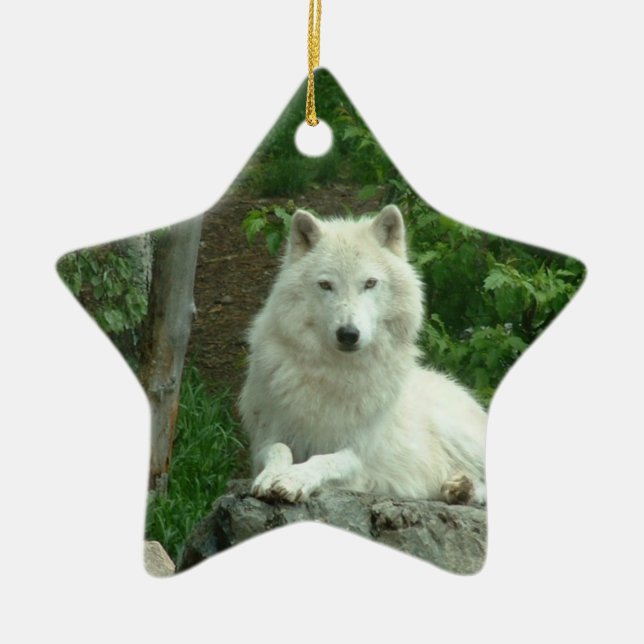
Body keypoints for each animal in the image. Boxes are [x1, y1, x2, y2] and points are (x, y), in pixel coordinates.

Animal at [239, 205, 487, 505]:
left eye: (370, 283)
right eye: (325, 285)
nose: (348, 334)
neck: (337, 374)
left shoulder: (359, 455)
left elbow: (324, 459)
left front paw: (292, 479)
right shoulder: (264, 439)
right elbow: (278, 449)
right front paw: (271, 477)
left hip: (458, 434)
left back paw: (462, 489)